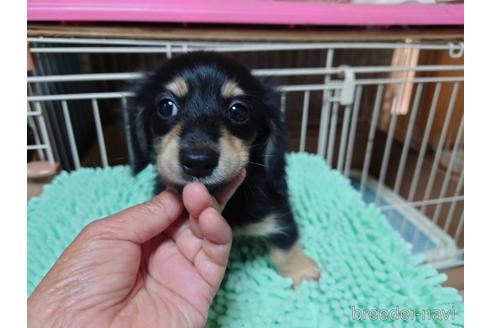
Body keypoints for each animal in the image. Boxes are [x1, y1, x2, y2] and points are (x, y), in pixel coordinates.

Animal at [125, 52, 320, 288]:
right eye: (165, 106)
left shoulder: (276, 210)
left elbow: (286, 242)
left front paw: (301, 271)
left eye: (238, 110)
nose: (198, 162)